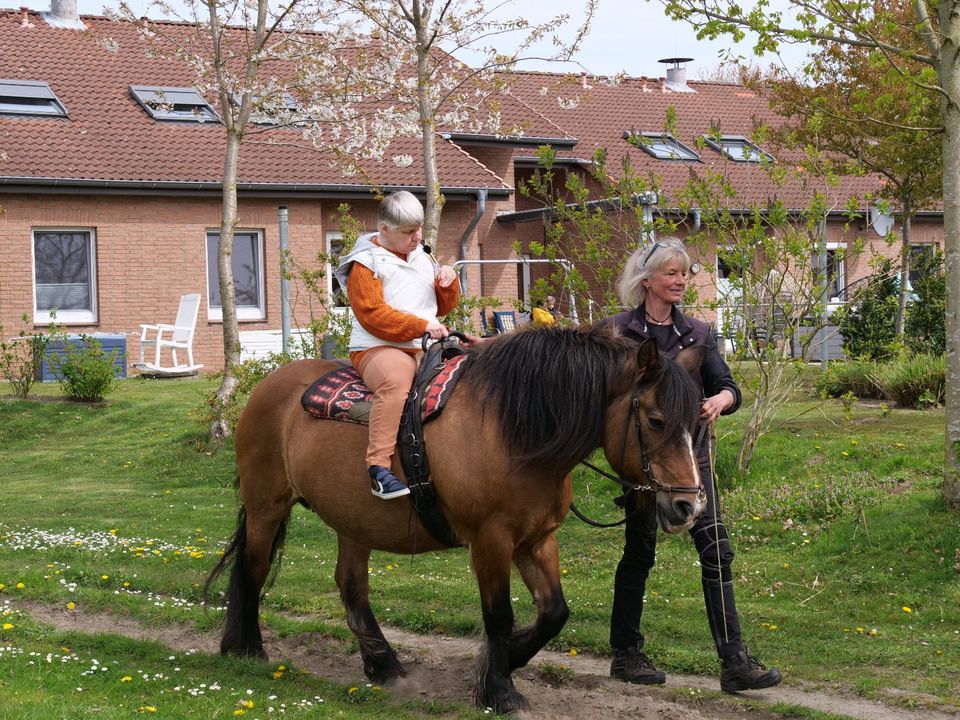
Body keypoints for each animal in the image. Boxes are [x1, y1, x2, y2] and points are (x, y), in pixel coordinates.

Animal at [206, 328, 704, 716]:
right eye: (655, 420)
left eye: (696, 421)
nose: (688, 507)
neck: (513, 429)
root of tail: (269, 387)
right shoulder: (490, 542)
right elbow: (499, 616)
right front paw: (500, 691)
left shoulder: (537, 540)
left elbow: (554, 613)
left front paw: (508, 660)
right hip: (267, 507)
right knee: (252, 570)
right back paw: (246, 648)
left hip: (352, 521)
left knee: (351, 586)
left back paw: (384, 665)